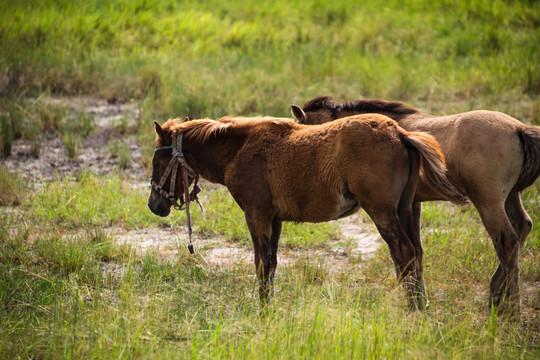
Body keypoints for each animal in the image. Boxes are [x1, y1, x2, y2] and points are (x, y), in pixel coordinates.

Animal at [148, 114, 464, 310]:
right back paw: (420, 305)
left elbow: (261, 265)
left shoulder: (256, 216)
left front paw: (261, 313)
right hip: (405, 209)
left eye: (157, 163)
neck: (240, 148)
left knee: (404, 254)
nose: (154, 205)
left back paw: (411, 310)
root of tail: (399, 132)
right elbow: (271, 265)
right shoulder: (274, 220)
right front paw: (267, 309)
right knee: (415, 255)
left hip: (383, 212)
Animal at [294, 96, 540, 316]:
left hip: (488, 202)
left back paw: (510, 307)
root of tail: (518, 128)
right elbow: (417, 251)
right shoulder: (413, 204)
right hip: (510, 198)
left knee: (507, 241)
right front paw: (419, 296)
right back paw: (497, 295)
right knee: (522, 227)